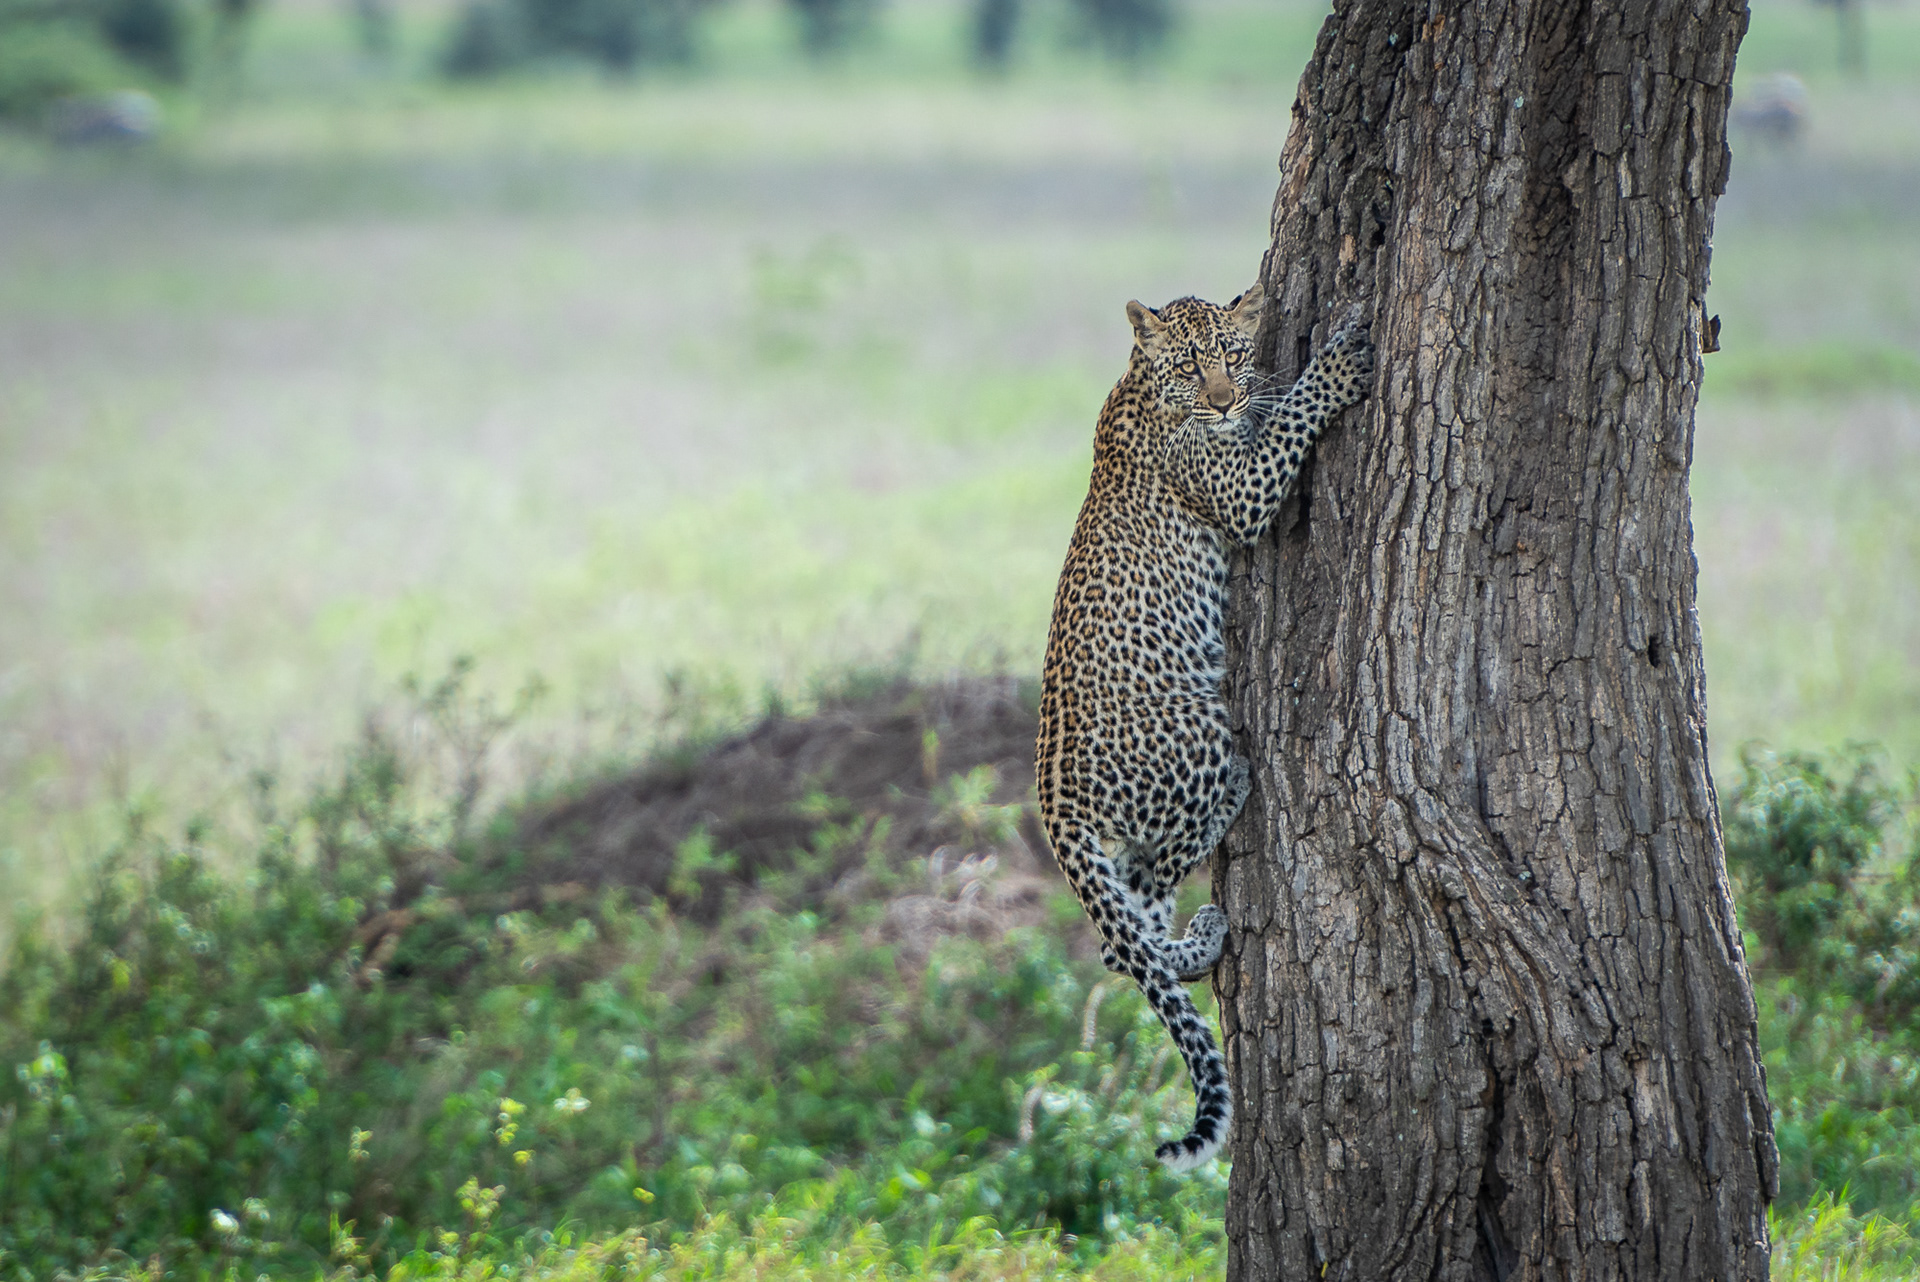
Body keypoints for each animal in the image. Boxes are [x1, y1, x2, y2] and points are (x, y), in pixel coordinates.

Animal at [1044, 282, 1374, 1174]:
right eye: (1193, 366)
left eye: (1230, 353)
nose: (1225, 401)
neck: (1141, 383)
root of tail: (1053, 803)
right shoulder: (1241, 489)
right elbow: (1294, 416)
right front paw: (1339, 362)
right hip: (1197, 750)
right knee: (1161, 879)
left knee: (1128, 938)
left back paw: (1198, 937)